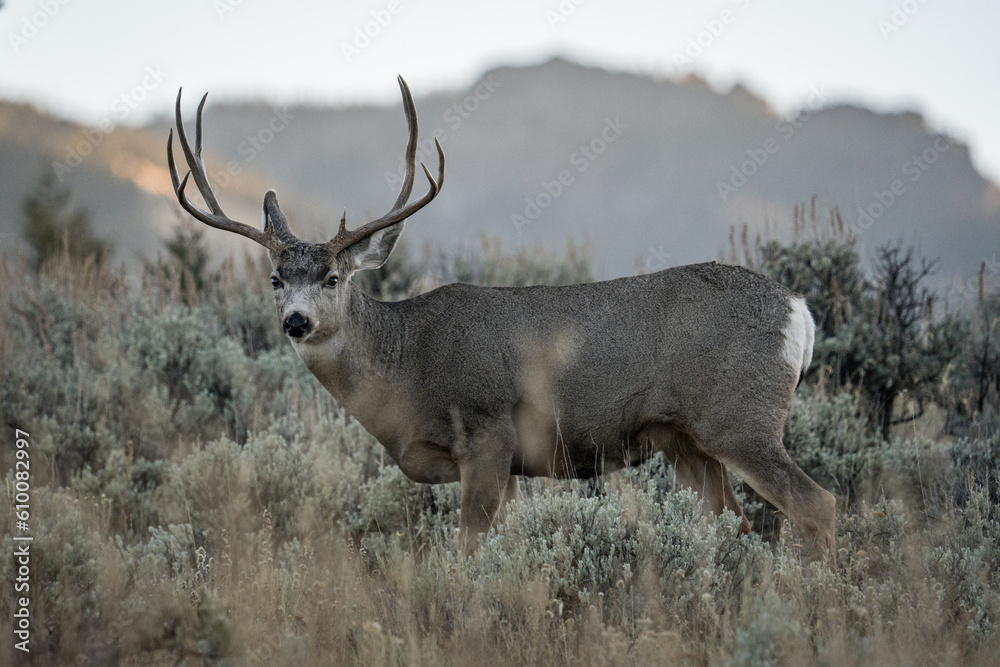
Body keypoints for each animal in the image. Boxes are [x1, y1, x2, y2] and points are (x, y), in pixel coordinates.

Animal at [166, 77, 837, 568]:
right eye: (275, 280)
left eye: (333, 277)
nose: (297, 322)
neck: (408, 367)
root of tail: (798, 312)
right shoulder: (509, 465)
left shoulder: (488, 431)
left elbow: (468, 551)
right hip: (686, 440)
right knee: (740, 524)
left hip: (740, 417)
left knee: (817, 504)